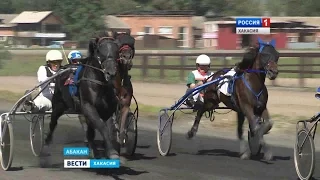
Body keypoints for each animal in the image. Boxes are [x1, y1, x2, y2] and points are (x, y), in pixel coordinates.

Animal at [43, 31, 120, 159]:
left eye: (116, 49)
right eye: (100, 50)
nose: (111, 72)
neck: (100, 84)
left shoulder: (107, 110)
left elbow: (107, 129)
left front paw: (109, 151)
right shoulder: (88, 107)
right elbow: (102, 127)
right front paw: (112, 152)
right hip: (58, 105)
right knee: (53, 122)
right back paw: (46, 144)